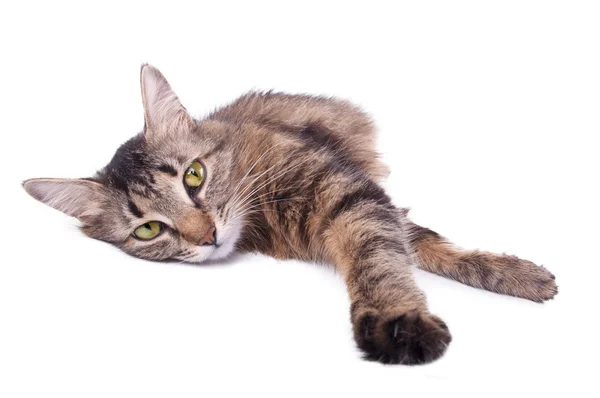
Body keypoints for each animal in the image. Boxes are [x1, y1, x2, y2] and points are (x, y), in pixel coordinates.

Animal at [23, 64, 556, 364]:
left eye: (194, 176)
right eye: (149, 229)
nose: (207, 236)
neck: (263, 211)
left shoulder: (350, 193)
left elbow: (395, 252)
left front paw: (514, 276)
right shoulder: (359, 202)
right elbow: (398, 250)